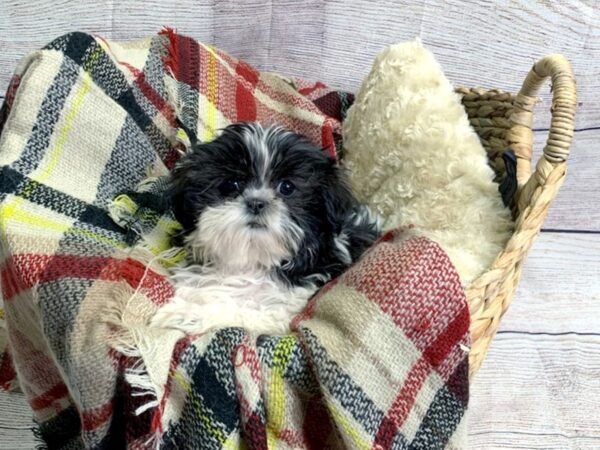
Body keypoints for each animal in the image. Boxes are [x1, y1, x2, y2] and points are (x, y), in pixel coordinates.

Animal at [152, 122, 382, 334]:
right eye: (231, 185)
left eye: (287, 187)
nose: (256, 202)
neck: (252, 259)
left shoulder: (284, 310)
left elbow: (244, 311)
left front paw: (186, 314)